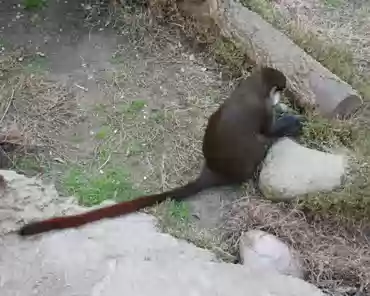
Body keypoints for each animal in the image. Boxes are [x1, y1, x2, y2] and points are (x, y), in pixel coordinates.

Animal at [18, 66, 290, 237]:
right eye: (281, 90)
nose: (282, 98)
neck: (255, 85)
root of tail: (214, 170)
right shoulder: (264, 107)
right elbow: (268, 129)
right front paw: (287, 122)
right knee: (259, 142)